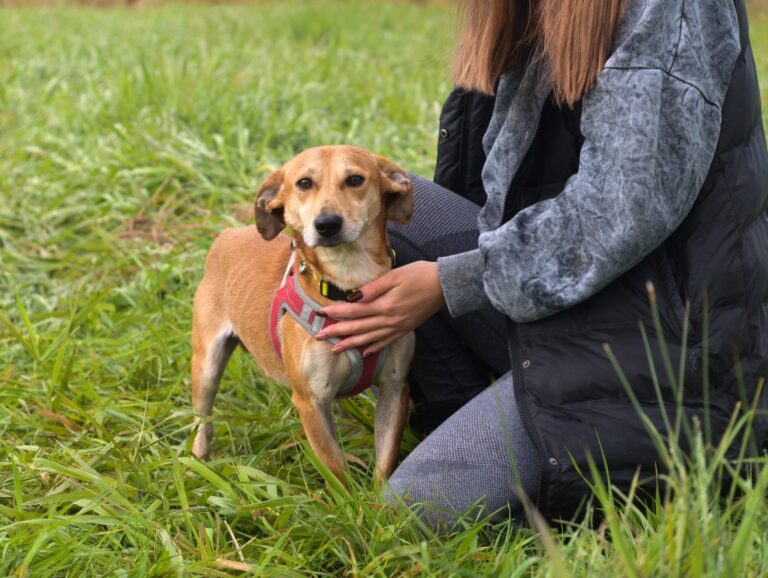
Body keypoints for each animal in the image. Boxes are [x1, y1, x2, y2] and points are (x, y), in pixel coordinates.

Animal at [192, 145, 416, 482]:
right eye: (304, 183)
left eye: (355, 179)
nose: (327, 224)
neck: (348, 284)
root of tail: (227, 234)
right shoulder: (310, 401)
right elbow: (336, 469)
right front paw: (351, 497)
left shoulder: (394, 387)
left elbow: (385, 463)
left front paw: (382, 495)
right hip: (206, 365)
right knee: (202, 418)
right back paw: (197, 462)